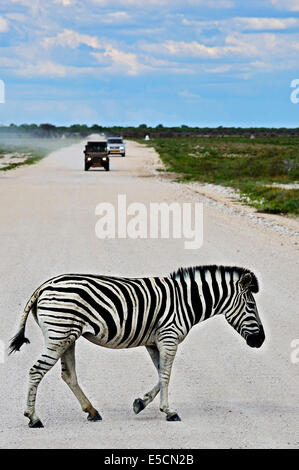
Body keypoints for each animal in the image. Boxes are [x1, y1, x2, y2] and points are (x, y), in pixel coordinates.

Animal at [9, 266, 266, 428]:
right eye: (251, 306)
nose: (261, 340)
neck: (186, 301)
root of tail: (44, 286)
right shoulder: (169, 337)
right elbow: (166, 375)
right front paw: (169, 412)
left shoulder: (154, 342)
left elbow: (161, 375)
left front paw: (140, 403)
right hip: (59, 335)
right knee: (36, 371)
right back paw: (34, 418)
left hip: (68, 337)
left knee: (68, 375)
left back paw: (92, 412)